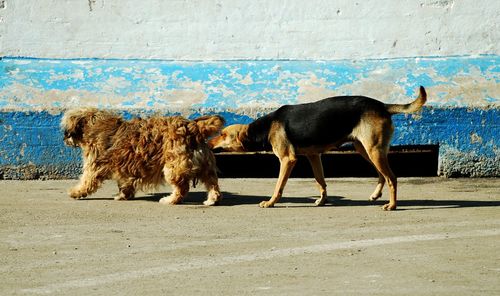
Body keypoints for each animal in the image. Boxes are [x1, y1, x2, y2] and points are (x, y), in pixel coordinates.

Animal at [61, 108, 225, 206]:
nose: (64, 138)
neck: (94, 125)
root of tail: (194, 127)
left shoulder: (94, 166)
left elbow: (86, 181)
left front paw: (76, 192)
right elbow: (125, 183)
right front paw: (123, 195)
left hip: (173, 167)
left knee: (182, 188)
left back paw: (170, 200)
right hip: (206, 166)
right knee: (213, 184)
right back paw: (212, 199)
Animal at [210, 86, 426, 210]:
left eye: (223, 135)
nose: (209, 143)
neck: (265, 127)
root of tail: (382, 105)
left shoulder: (288, 159)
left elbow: (279, 186)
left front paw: (271, 202)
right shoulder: (313, 156)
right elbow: (320, 182)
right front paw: (322, 201)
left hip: (373, 150)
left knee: (392, 177)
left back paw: (392, 205)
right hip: (365, 149)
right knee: (382, 174)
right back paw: (376, 195)